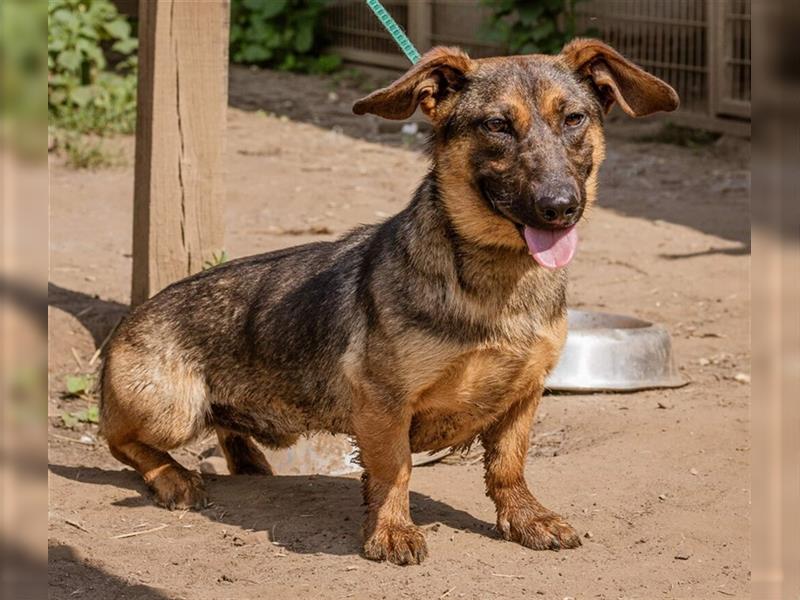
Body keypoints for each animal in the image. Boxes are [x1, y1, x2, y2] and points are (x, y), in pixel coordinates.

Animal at [97, 39, 680, 564]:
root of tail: (131, 318)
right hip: (173, 409)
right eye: (497, 125)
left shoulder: (523, 393)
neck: (498, 282)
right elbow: (393, 469)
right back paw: (173, 478)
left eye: (575, 118)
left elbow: (508, 466)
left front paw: (525, 519)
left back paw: (248, 460)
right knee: (118, 440)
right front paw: (391, 531)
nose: (560, 207)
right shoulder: (384, 401)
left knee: (223, 428)